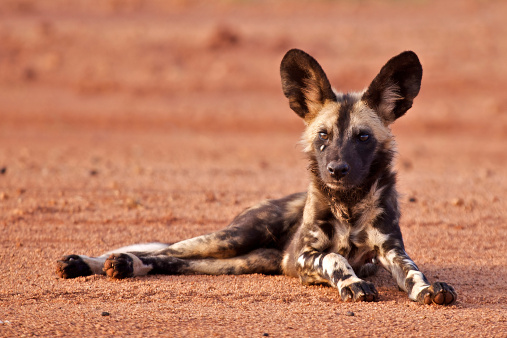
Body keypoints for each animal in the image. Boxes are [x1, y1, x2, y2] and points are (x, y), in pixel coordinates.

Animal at [57, 49, 458, 306]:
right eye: (323, 135)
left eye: (362, 137)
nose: (337, 169)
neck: (348, 204)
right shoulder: (302, 257)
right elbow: (334, 258)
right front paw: (354, 284)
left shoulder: (391, 252)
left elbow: (413, 273)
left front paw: (427, 289)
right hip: (231, 239)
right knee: (164, 250)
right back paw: (93, 263)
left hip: (244, 261)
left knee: (167, 261)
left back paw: (124, 266)